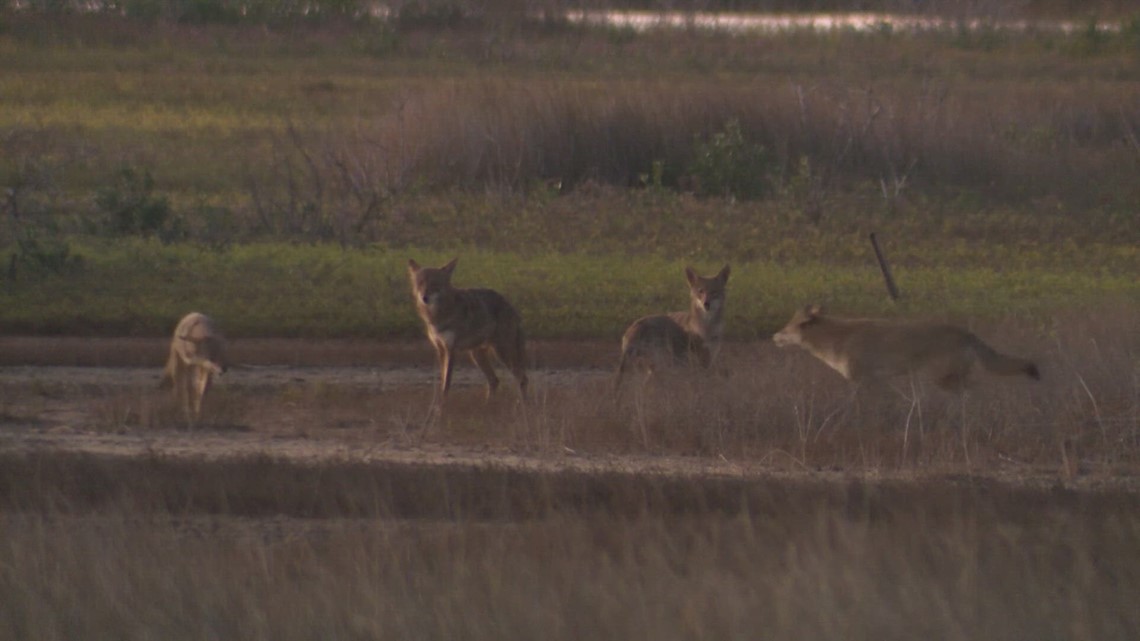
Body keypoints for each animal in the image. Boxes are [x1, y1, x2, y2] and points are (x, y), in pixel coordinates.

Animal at [408, 258, 528, 401]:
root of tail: (512, 308)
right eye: (420, 283)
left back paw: (523, 404)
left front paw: (443, 402)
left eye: (435, 283)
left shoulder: (451, 349)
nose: (425, 298)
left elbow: (447, 382)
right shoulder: (441, 349)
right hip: (477, 355)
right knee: (494, 380)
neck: (438, 314)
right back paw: (488, 404)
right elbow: (443, 379)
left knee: (522, 379)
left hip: (502, 352)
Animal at [772, 305, 1040, 391]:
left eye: (787, 328)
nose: (773, 336)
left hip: (941, 380)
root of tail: (967, 334)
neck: (837, 339)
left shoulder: (863, 381)